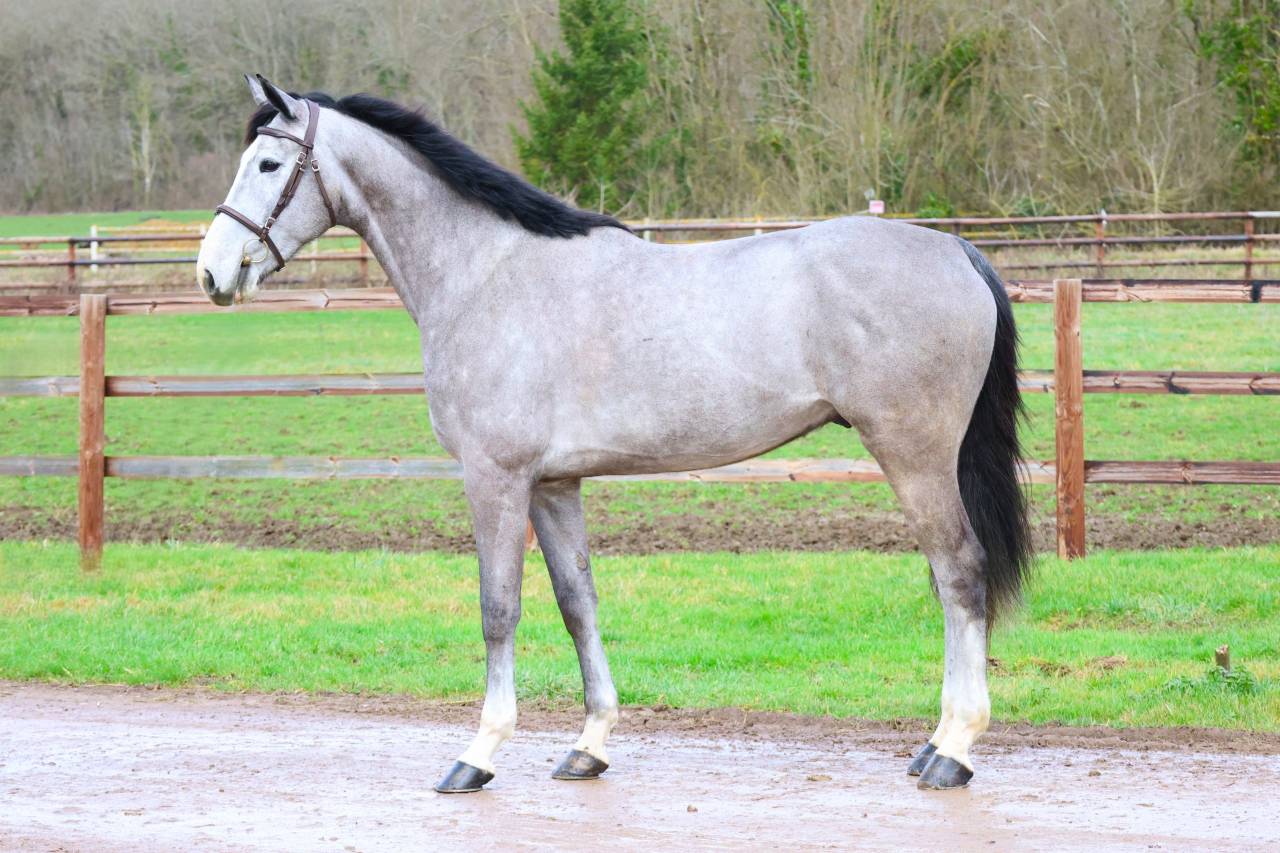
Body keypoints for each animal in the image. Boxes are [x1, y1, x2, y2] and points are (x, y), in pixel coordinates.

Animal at [196, 75, 1031, 794]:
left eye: (268, 162)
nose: (212, 272)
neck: (486, 273)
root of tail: (957, 248)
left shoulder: (495, 477)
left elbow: (498, 607)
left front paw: (479, 752)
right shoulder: (554, 484)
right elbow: (578, 602)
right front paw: (589, 744)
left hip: (915, 456)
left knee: (959, 573)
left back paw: (953, 748)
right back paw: (935, 742)